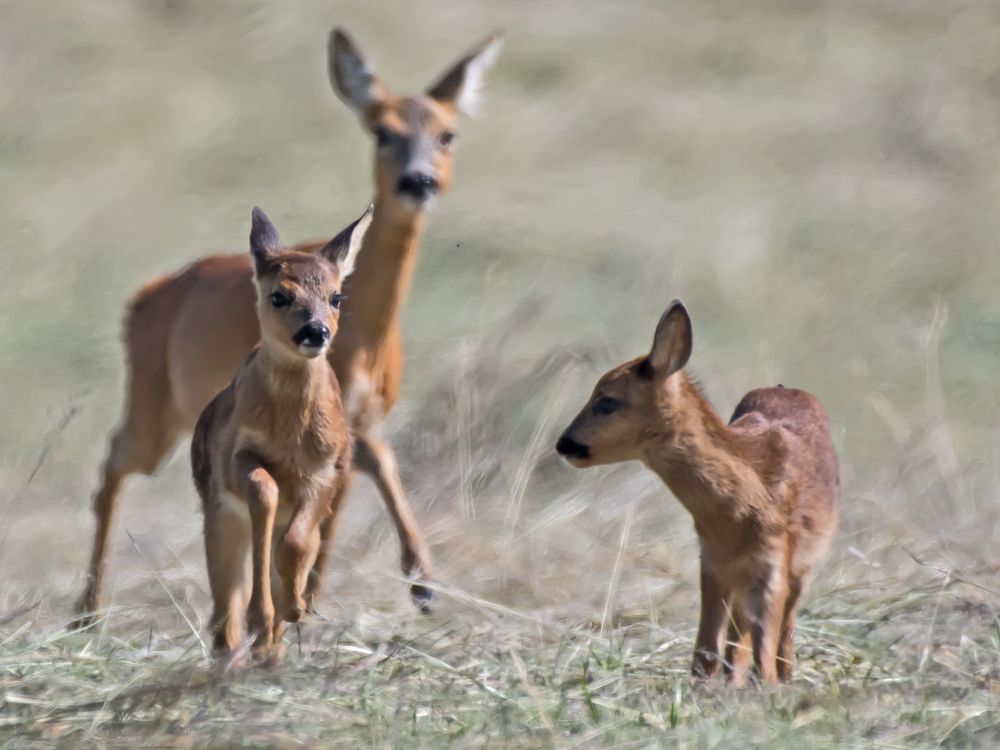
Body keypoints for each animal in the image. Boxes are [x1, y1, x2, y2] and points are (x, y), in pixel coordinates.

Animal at [190, 209, 360, 660]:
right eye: (279, 295)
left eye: (337, 297)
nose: (315, 332)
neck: (290, 436)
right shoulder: (235, 456)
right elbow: (264, 490)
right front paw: (264, 616)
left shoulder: (328, 469)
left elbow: (297, 542)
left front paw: (293, 607)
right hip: (218, 520)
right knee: (223, 611)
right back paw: (242, 646)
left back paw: (273, 639)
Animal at [556, 302, 836, 684]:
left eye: (607, 401)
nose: (563, 444)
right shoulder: (712, 563)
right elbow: (706, 650)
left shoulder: (774, 561)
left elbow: (763, 651)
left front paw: (767, 689)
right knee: (738, 637)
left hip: (801, 567)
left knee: (783, 634)